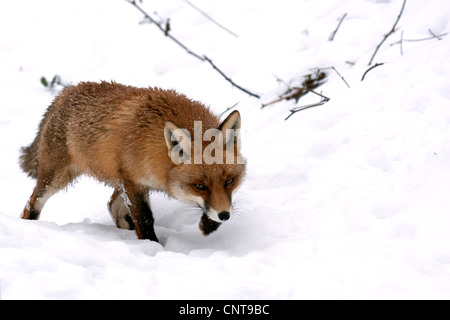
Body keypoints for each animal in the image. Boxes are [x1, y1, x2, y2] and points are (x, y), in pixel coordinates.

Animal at [20, 80, 246, 242]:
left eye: (229, 181)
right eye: (199, 186)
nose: (224, 216)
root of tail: (65, 92)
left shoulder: (132, 182)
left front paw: (209, 225)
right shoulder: (134, 182)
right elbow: (145, 219)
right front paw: (152, 246)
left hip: (117, 181)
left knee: (112, 206)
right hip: (55, 179)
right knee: (31, 204)